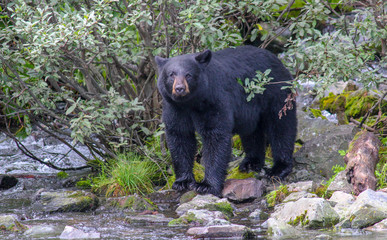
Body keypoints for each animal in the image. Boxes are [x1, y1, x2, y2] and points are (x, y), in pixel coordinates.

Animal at [156, 45, 298, 197]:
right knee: (252, 132)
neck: (191, 103)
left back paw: (279, 168)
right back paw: (251, 163)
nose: (179, 89)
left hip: (277, 93)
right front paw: (182, 181)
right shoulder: (175, 108)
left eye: (188, 75)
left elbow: (215, 137)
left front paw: (206, 185)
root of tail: (278, 60)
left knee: (281, 127)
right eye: (171, 74)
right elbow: (179, 136)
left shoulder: (213, 101)